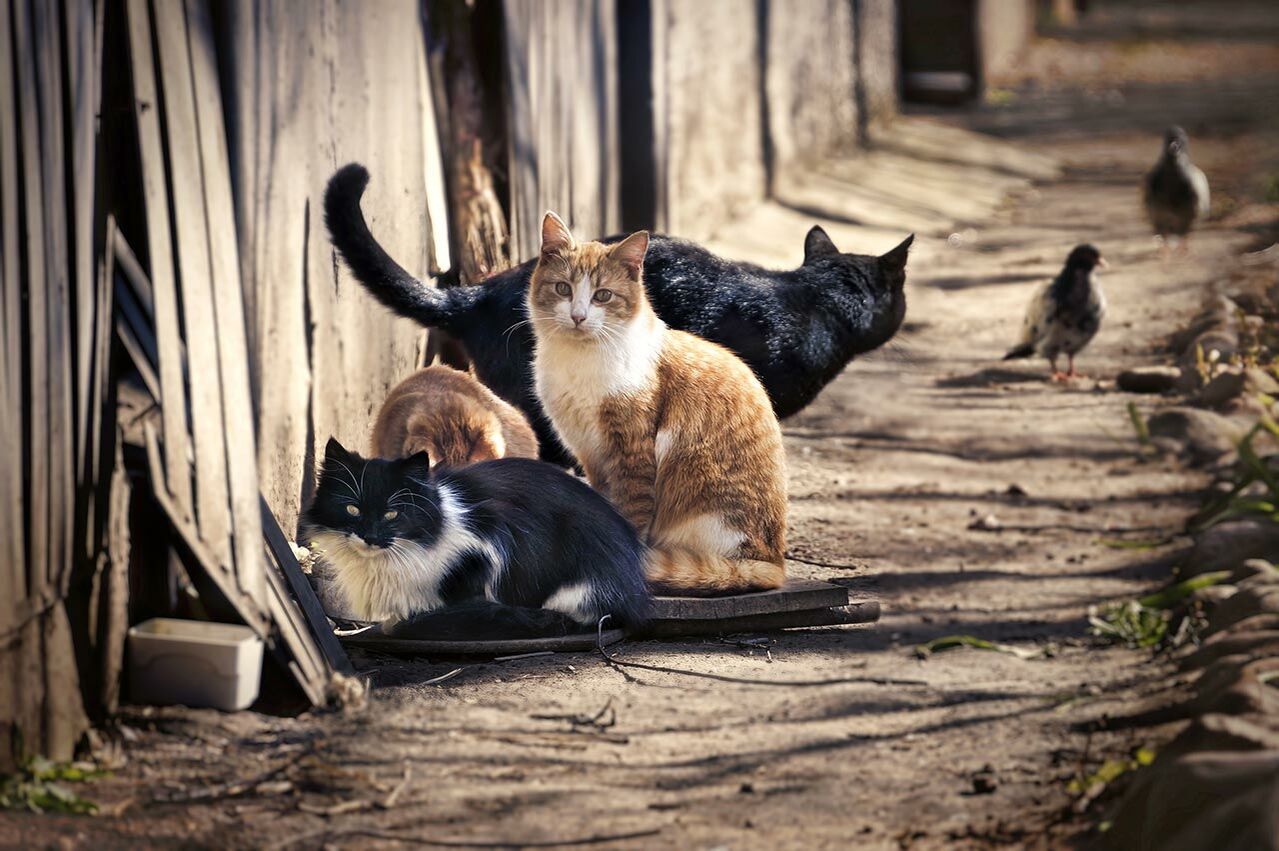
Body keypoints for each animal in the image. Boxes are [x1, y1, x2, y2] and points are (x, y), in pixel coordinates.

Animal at [524, 212, 782, 593]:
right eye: (563, 289)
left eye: (603, 296)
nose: (578, 316)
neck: (579, 360)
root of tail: (773, 561)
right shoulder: (593, 456)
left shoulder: (632, 452)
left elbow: (631, 513)